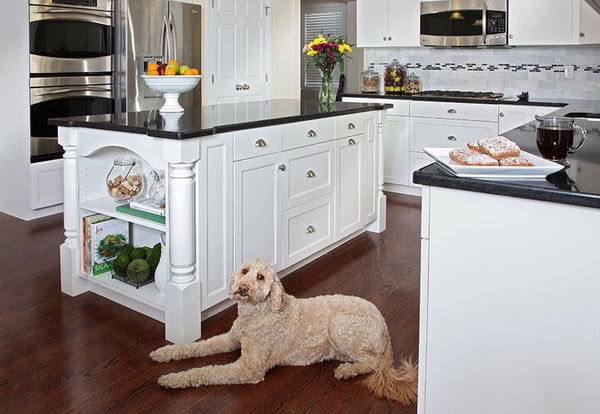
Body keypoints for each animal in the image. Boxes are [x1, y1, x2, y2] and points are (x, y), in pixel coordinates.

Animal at [149, 258, 418, 404]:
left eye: (260, 277)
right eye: (244, 271)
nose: (243, 288)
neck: (257, 314)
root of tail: (384, 324)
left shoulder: (249, 369)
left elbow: (207, 372)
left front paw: (173, 379)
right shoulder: (230, 339)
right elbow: (197, 346)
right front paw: (164, 353)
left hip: (341, 326)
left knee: (375, 362)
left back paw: (346, 370)